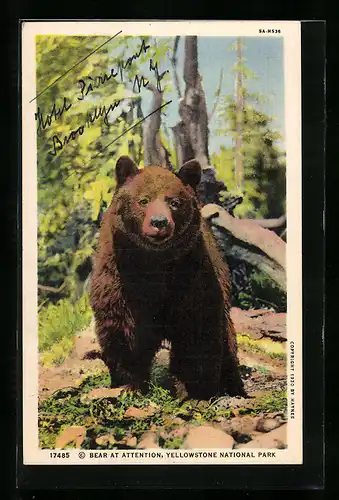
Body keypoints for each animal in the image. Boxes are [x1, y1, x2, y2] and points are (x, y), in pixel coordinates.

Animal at [89, 154, 246, 400]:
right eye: (143, 200)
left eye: (174, 202)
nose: (159, 222)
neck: (154, 261)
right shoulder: (120, 275)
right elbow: (124, 326)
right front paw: (128, 383)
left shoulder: (191, 274)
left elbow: (196, 328)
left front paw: (193, 391)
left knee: (227, 338)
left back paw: (231, 386)